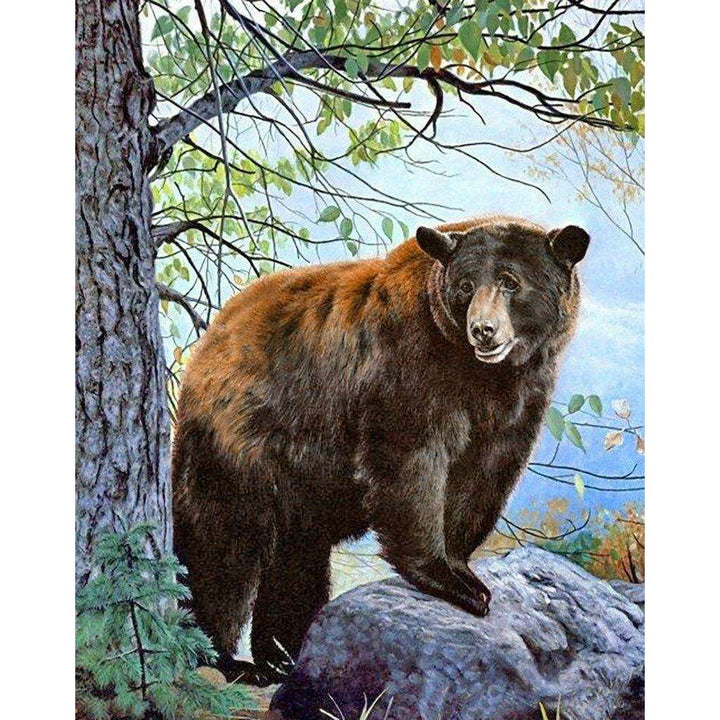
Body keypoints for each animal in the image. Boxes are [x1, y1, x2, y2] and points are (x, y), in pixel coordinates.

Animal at [172, 215, 590, 686]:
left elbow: (484, 475)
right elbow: (409, 460)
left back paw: (282, 654)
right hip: (241, 440)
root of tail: (209, 341)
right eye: (466, 285)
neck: (480, 373)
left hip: (301, 478)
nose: (483, 330)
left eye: (510, 282)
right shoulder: (408, 363)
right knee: (222, 547)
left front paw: (463, 569)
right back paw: (223, 657)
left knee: (296, 558)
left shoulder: (520, 398)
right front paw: (447, 579)